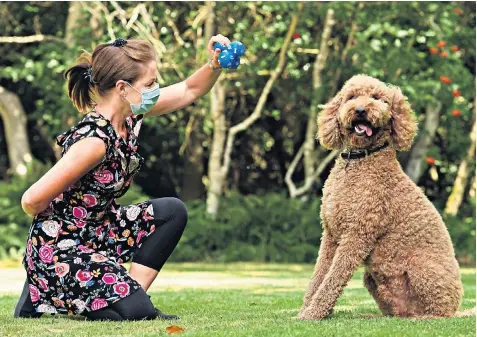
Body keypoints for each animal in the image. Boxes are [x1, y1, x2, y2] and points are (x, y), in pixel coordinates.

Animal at [300, 75, 470, 318]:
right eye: (351, 97)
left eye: (378, 98)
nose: (361, 110)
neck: (360, 160)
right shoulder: (331, 234)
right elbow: (318, 276)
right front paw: (307, 310)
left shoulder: (357, 235)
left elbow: (333, 278)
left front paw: (312, 314)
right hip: (373, 280)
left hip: (422, 268)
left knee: (438, 312)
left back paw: (423, 318)